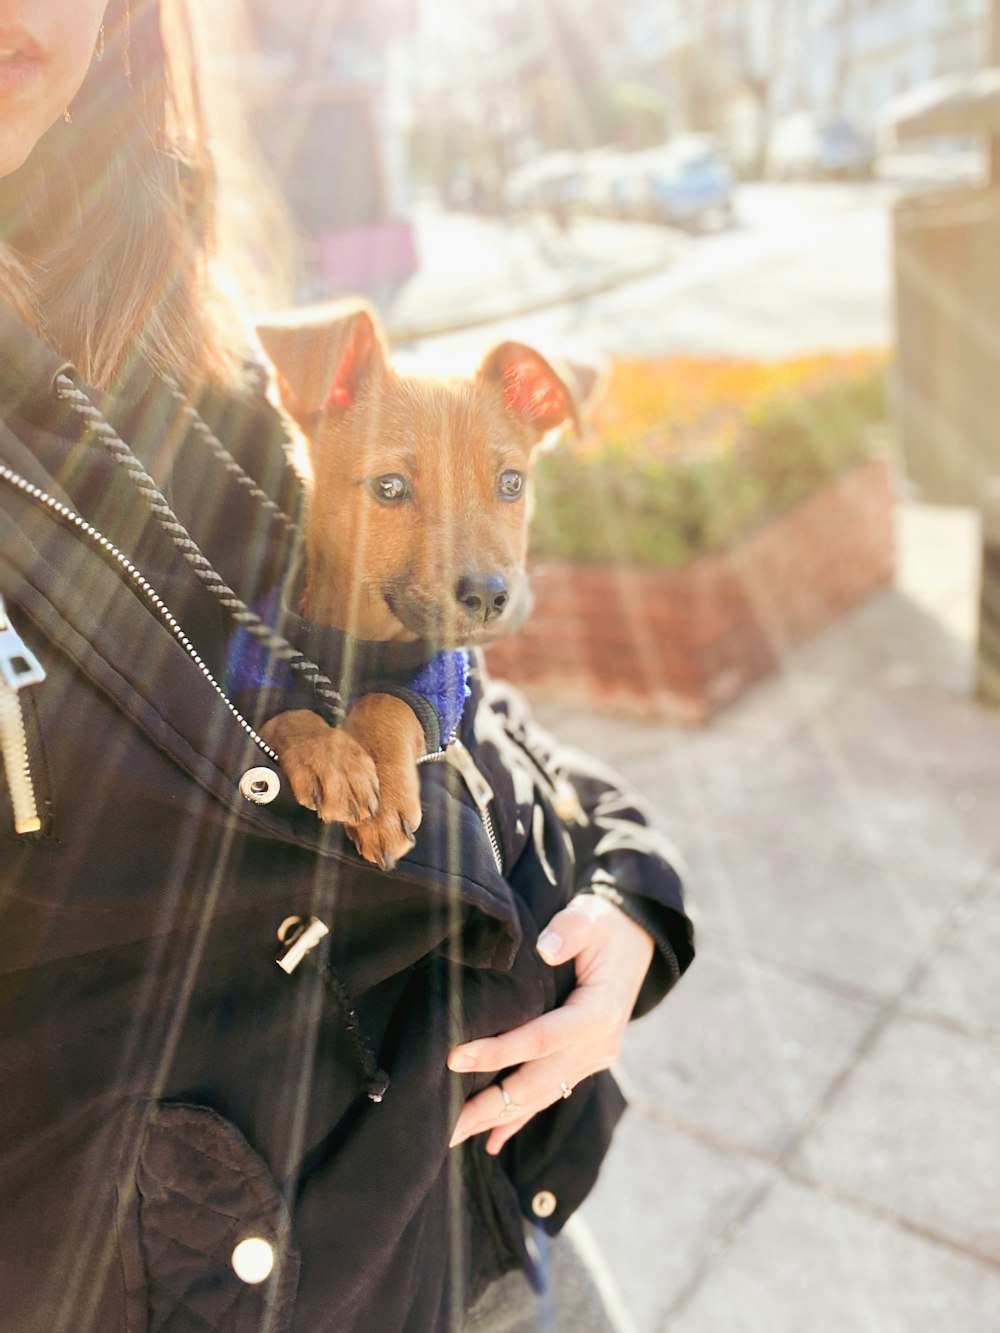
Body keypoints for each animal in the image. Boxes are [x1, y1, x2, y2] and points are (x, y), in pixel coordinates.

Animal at [254, 306, 576, 869]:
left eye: (511, 483)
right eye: (389, 486)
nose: (489, 597)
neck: (363, 637)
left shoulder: (441, 679)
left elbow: (389, 703)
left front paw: (382, 793)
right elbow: (281, 706)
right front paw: (330, 756)